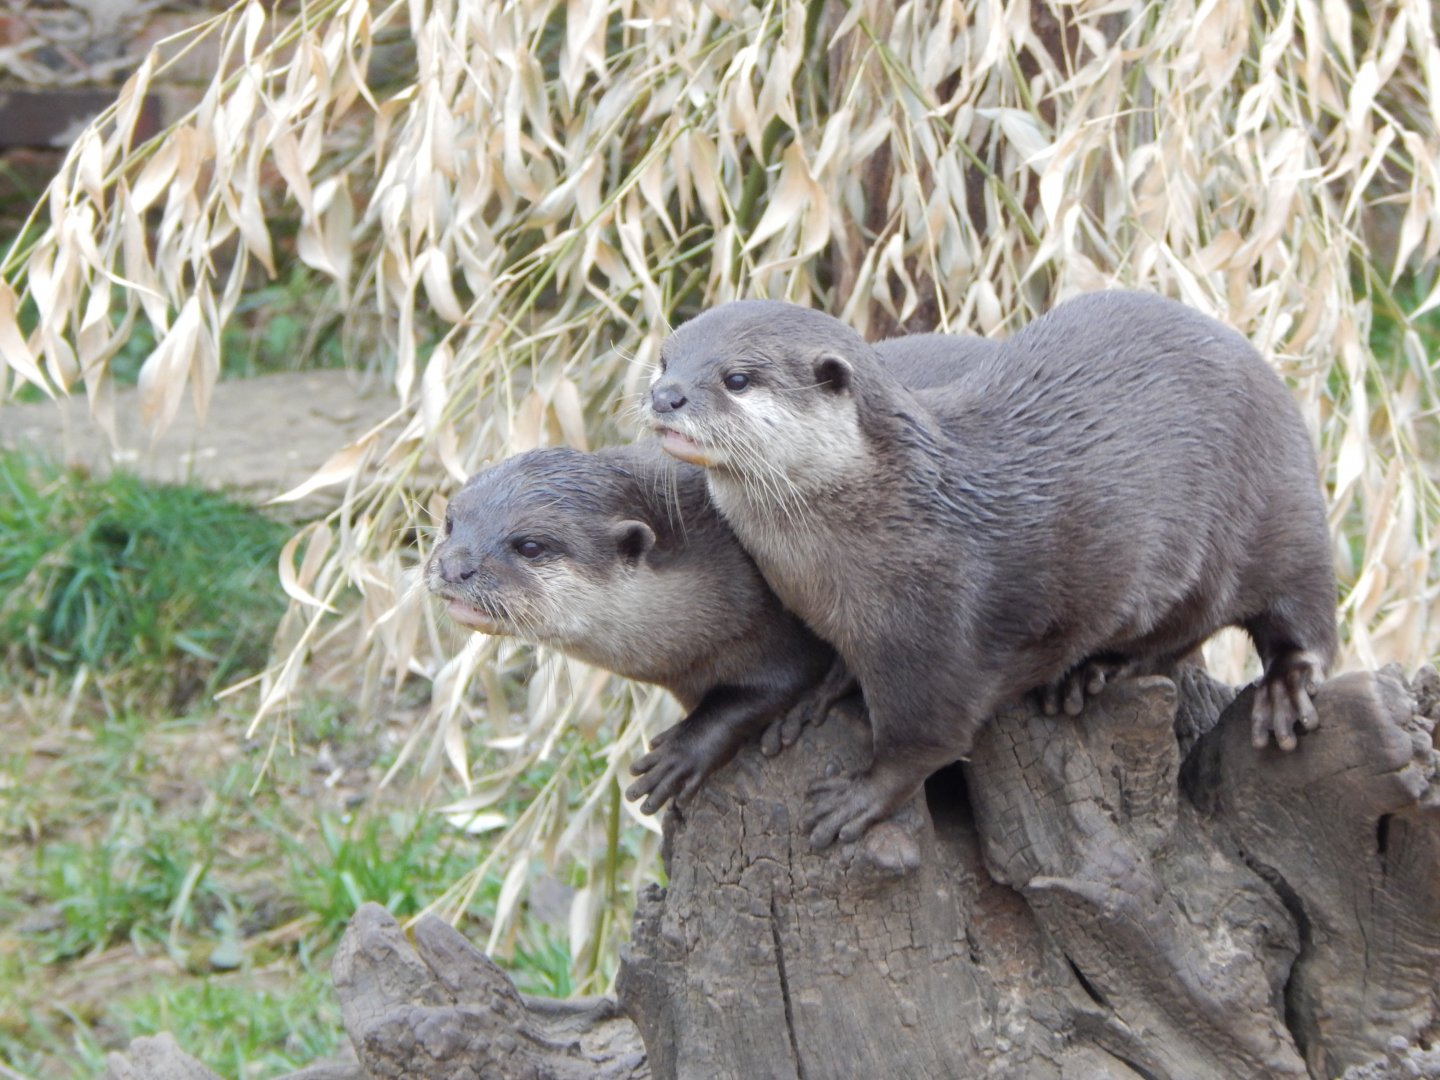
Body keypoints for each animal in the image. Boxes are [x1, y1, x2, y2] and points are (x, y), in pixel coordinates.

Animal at [425, 335, 999, 816]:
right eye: (451, 521)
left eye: (530, 545)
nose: (454, 565)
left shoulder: (770, 623)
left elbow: (766, 689)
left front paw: (681, 753)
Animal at [647, 292, 1337, 849]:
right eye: (663, 359)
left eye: (737, 378)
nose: (663, 396)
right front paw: (816, 696)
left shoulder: (939, 631)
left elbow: (927, 737)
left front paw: (861, 796)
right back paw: (1090, 672)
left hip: (1282, 509)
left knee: (1304, 616)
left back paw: (1281, 690)